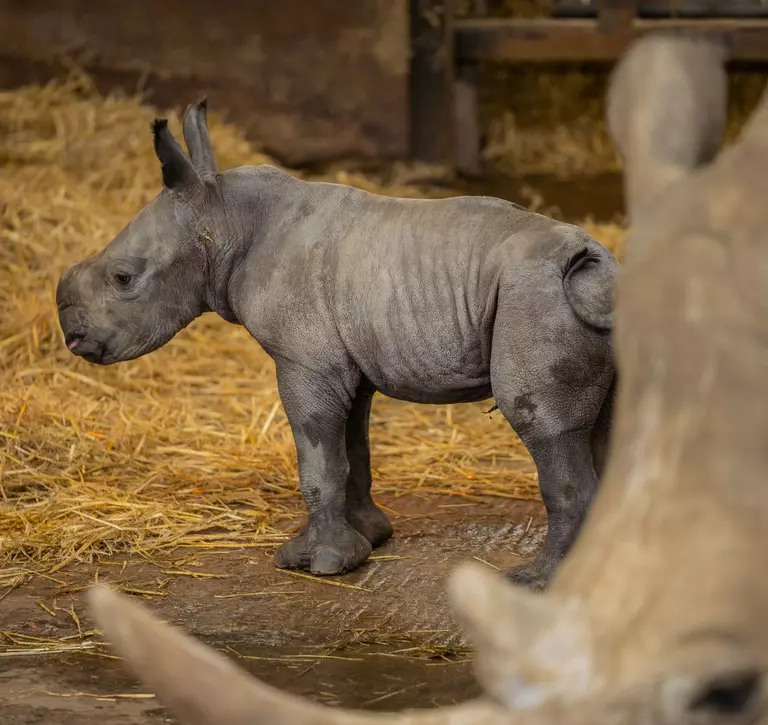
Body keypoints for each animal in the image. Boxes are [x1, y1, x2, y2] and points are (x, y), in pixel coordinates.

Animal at [55, 92, 616, 588]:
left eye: (123, 279)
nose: (72, 335)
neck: (223, 219)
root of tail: (595, 263)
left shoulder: (306, 361)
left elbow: (317, 456)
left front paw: (315, 563)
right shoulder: (344, 362)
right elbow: (351, 449)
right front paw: (369, 539)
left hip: (535, 297)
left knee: (546, 425)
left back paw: (538, 582)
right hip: (576, 300)